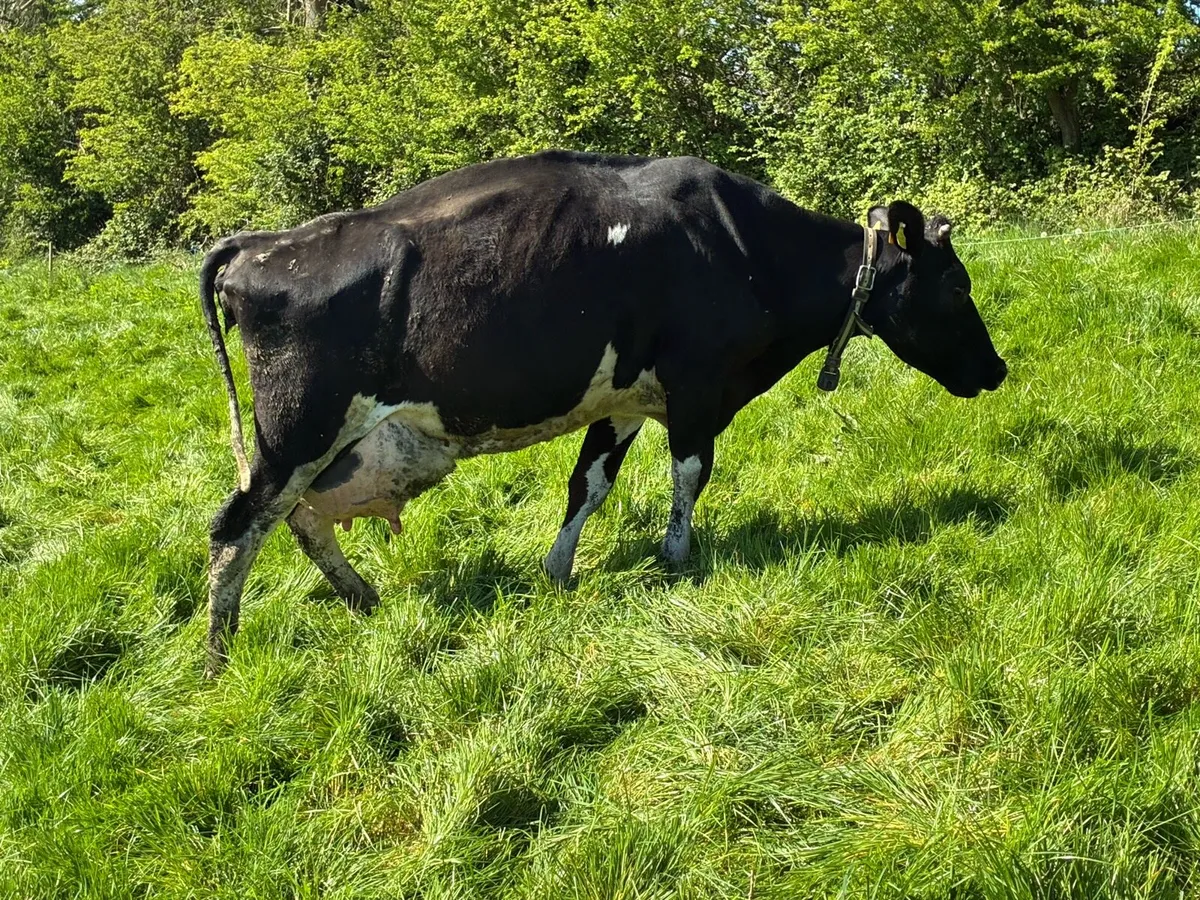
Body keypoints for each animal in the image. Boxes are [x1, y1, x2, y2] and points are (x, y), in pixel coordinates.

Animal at [199, 150, 1006, 676]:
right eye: (958, 286)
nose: (998, 370)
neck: (747, 251)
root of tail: (259, 244)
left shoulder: (625, 401)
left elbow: (588, 483)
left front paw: (557, 574)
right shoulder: (697, 386)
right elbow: (691, 473)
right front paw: (677, 558)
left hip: (334, 443)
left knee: (301, 518)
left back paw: (361, 598)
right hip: (297, 427)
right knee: (237, 528)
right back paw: (217, 655)